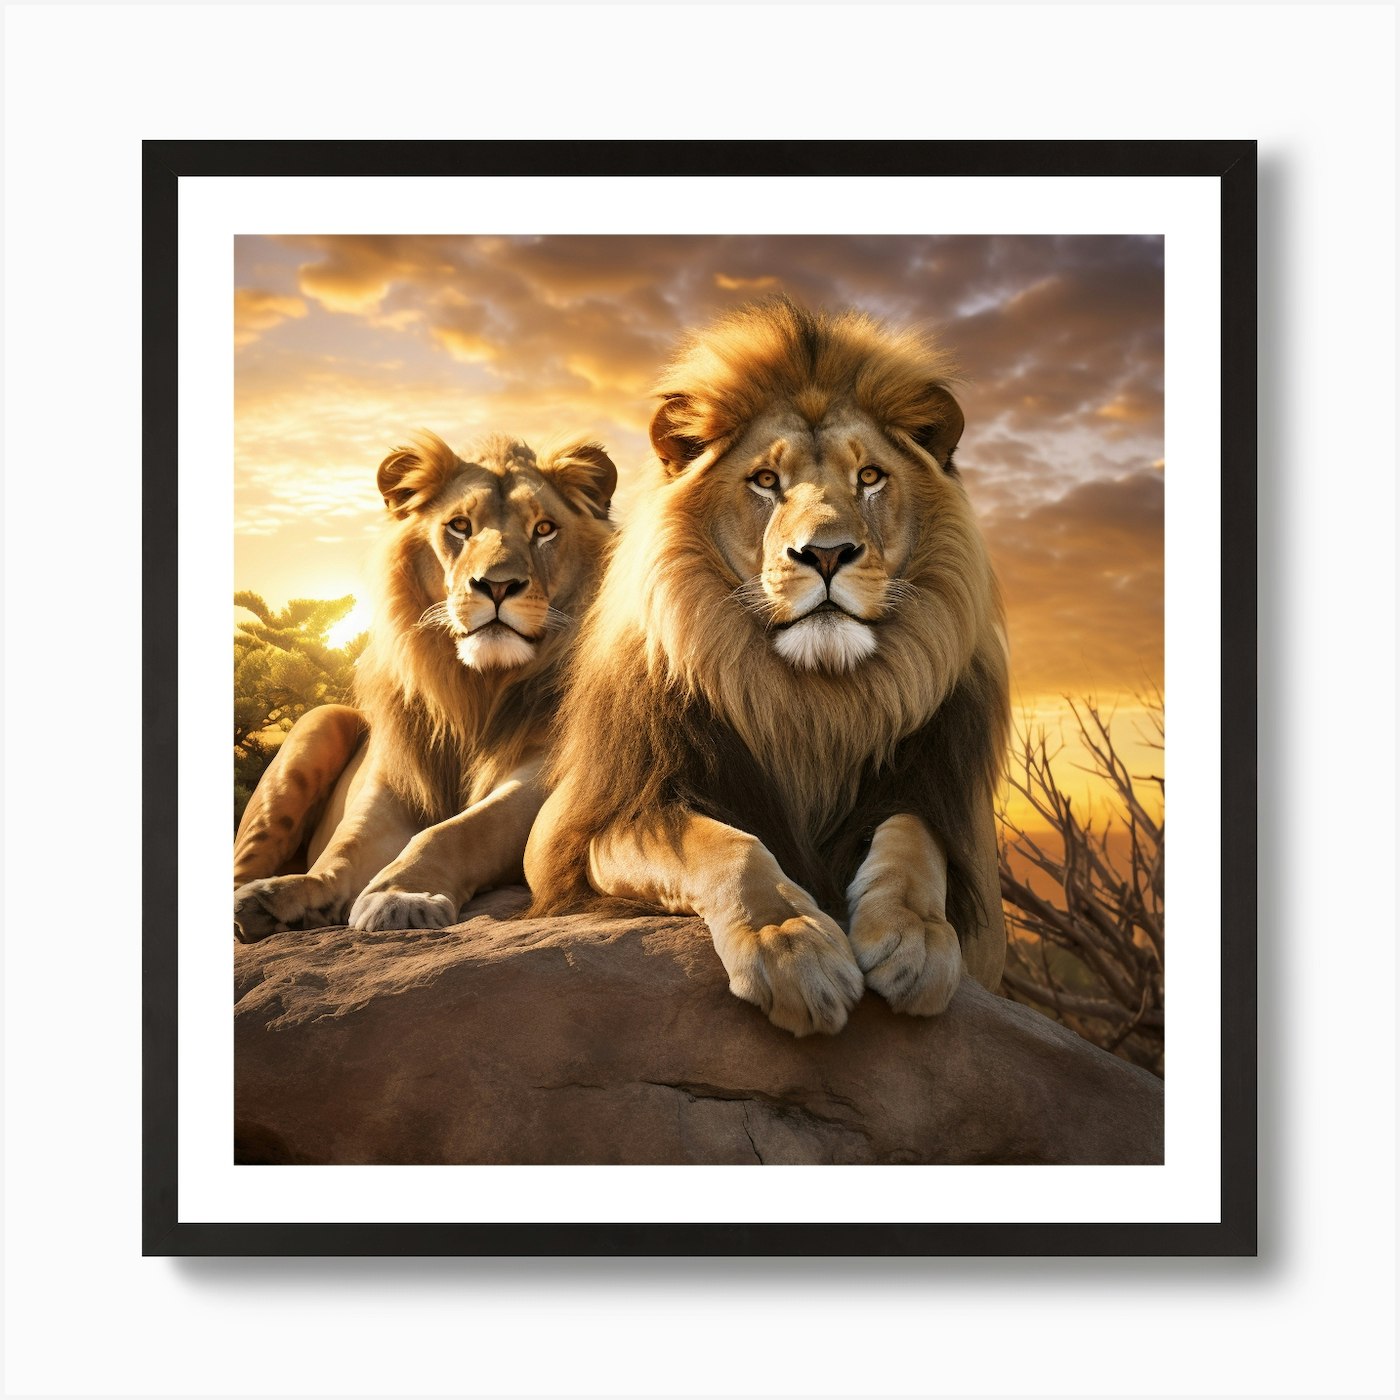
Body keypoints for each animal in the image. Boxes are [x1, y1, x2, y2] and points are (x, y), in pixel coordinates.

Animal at [233, 429, 616, 942]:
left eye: (544, 529)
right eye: (460, 526)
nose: (497, 586)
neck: (476, 689)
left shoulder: (541, 776)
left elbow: (455, 831)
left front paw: (402, 896)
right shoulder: (393, 778)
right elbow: (346, 847)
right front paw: (292, 894)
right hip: (319, 719)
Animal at [525, 298, 1010, 1036]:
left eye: (870, 477)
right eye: (765, 481)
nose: (827, 553)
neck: (810, 700)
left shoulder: (938, 801)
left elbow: (913, 837)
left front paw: (916, 937)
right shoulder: (588, 829)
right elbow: (725, 846)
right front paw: (791, 949)